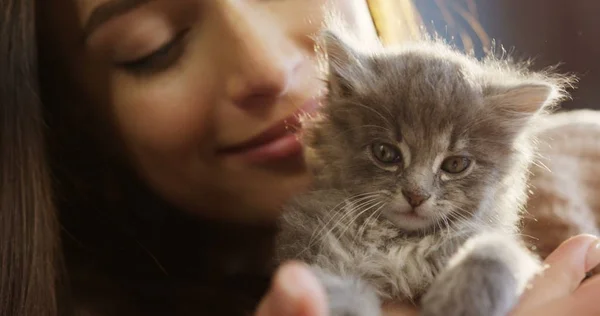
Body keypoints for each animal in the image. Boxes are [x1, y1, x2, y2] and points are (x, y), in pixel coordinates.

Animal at [276, 30, 572, 316]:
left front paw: (459, 304)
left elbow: (494, 252)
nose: (416, 196)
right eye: (385, 153)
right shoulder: (317, 257)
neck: (400, 243)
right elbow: (339, 298)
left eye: (455, 164)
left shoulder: (504, 244)